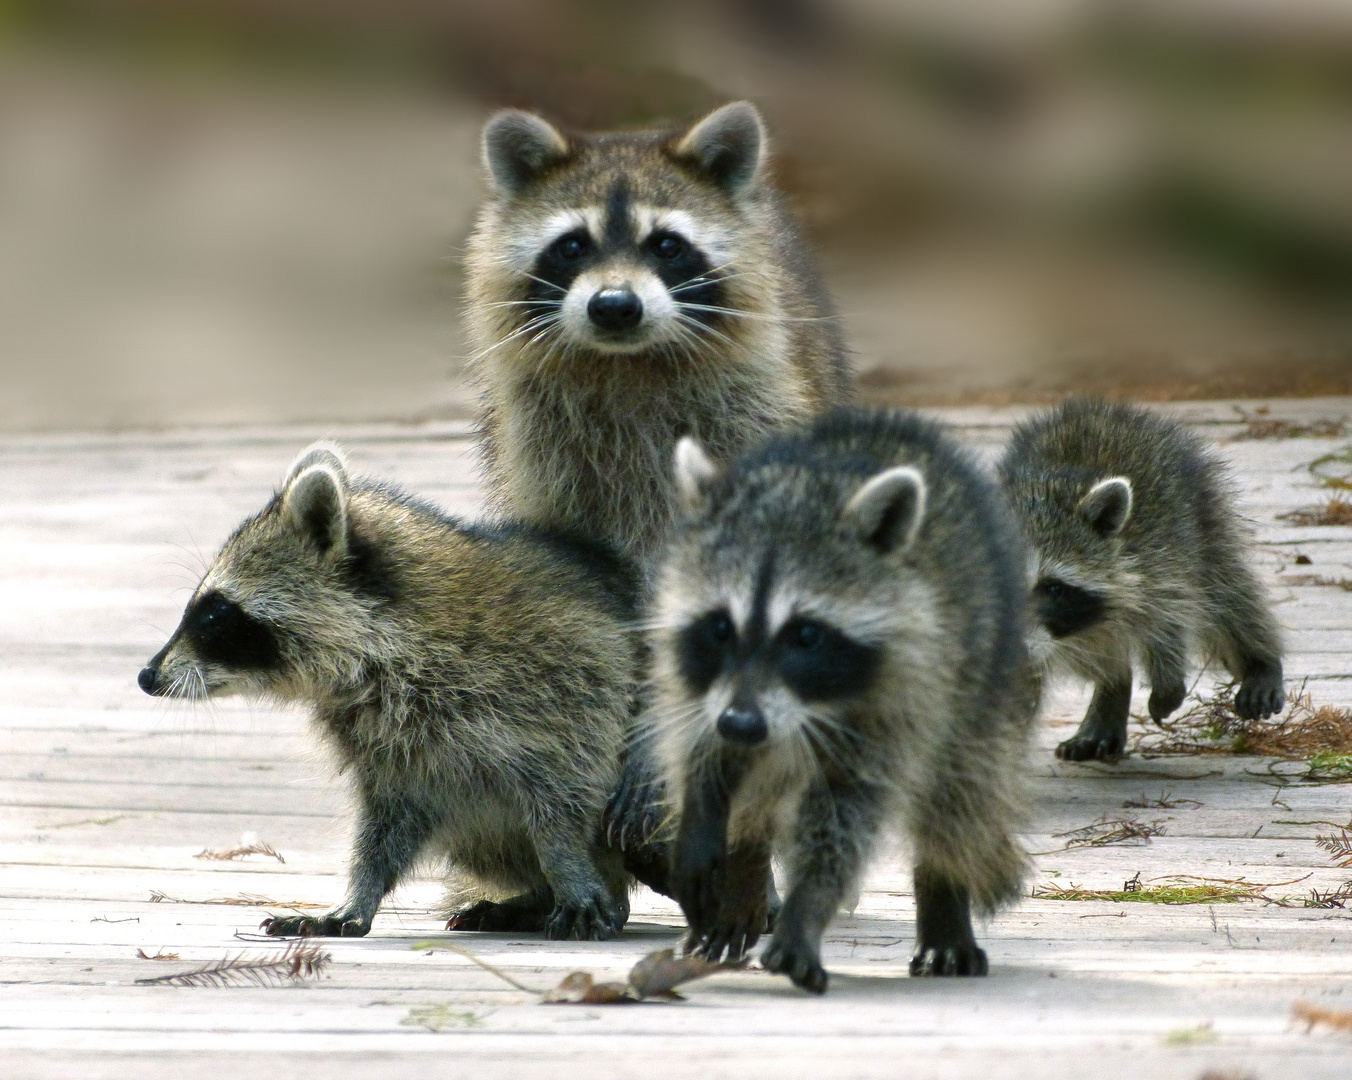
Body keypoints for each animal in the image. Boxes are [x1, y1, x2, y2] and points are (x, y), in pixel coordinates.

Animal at [138, 443, 643, 940]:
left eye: (214, 613)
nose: (147, 675)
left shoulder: (558, 680)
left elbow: (565, 788)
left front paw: (567, 864)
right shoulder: (384, 736)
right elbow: (387, 818)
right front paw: (360, 890)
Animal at [462, 99, 843, 565]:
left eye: (667, 245)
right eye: (572, 246)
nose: (614, 306)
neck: (626, 363)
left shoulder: (754, 410)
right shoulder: (539, 446)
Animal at [648, 410, 1027, 994]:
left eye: (806, 635)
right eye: (720, 626)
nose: (742, 723)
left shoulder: (902, 693)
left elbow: (844, 814)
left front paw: (807, 906)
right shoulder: (698, 682)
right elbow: (704, 749)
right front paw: (705, 808)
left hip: (980, 681)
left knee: (956, 798)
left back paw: (943, 900)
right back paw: (744, 872)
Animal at [1005, 394, 1287, 762]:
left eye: (1053, 588)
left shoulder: (1159, 557)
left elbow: (1170, 618)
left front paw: (1168, 683)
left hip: (1203, 516)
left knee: (1229, 594)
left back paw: (1260, 662)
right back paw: (1114, 688)